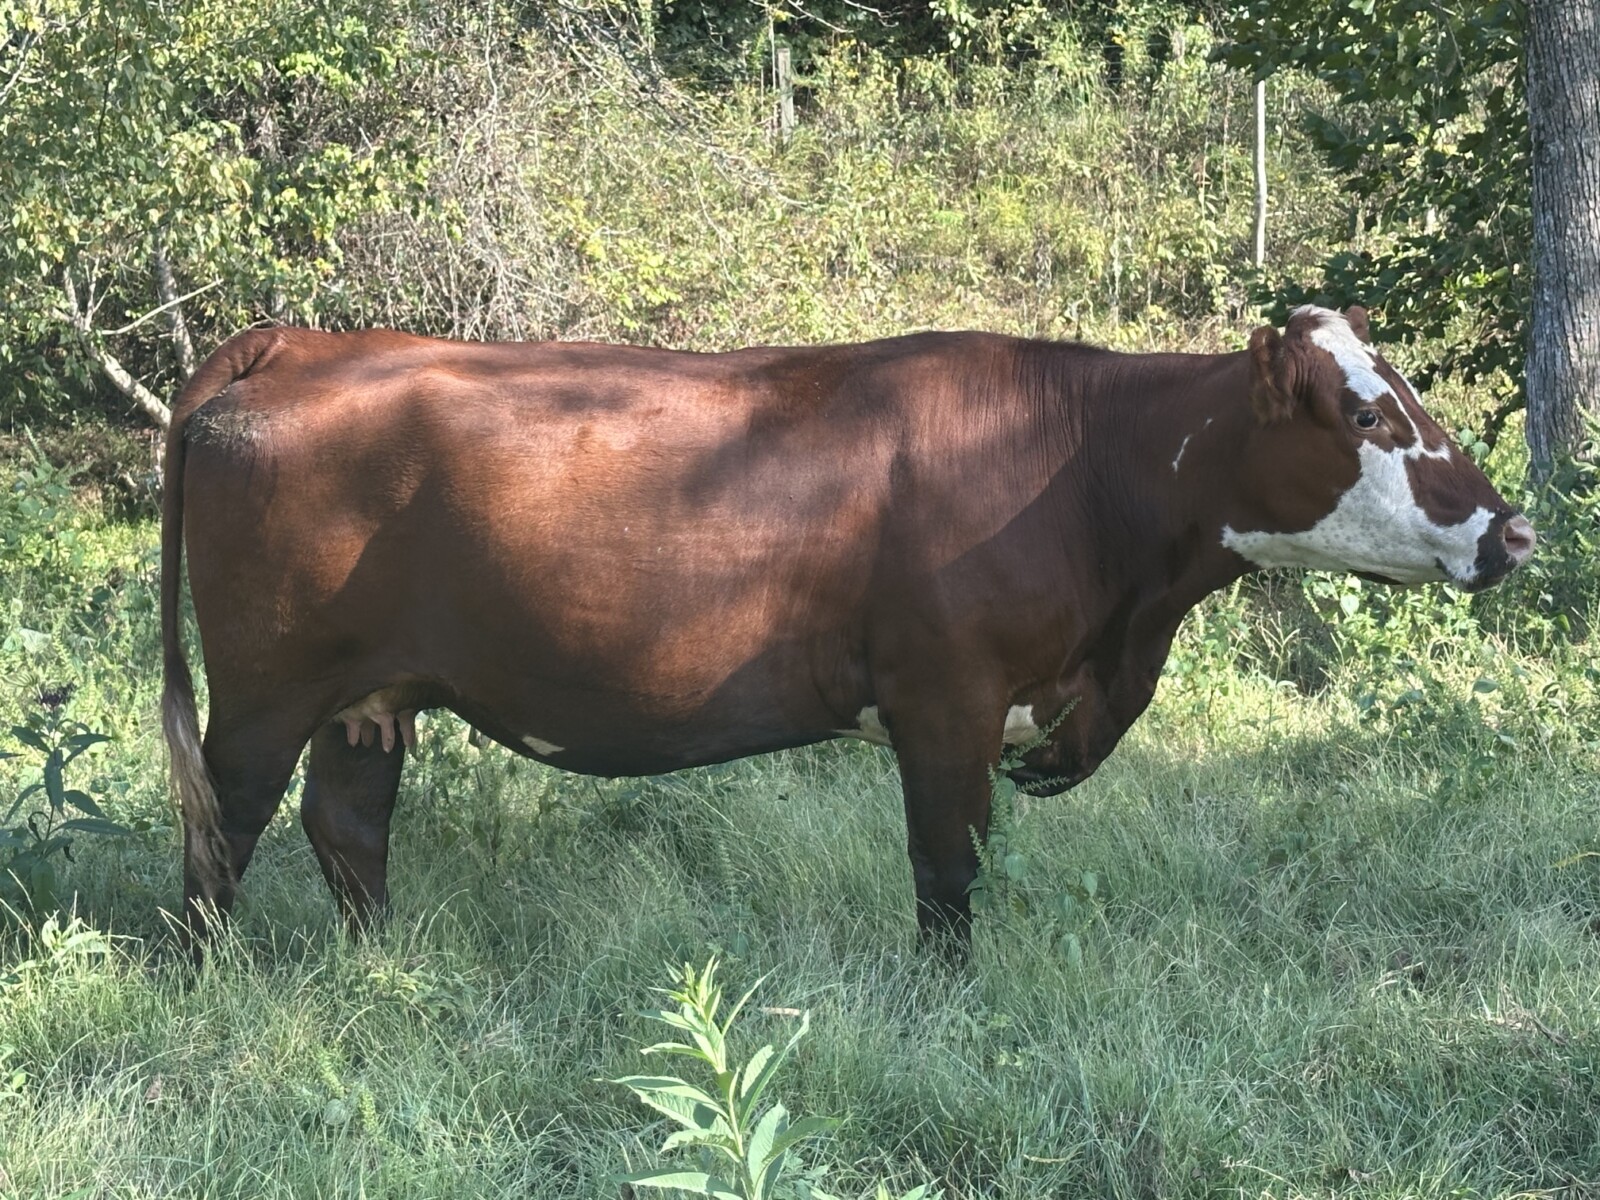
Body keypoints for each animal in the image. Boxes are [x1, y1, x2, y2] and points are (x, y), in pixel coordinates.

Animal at [161, 305, 1534, 947]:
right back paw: (209, 981)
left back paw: (383, 970)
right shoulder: (947, 700)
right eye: (1366, 415)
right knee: (222, 828)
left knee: (347, 827)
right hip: (264, 690)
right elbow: (947, 872)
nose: (1512, 533)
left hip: (366, 695)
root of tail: (302, 339)